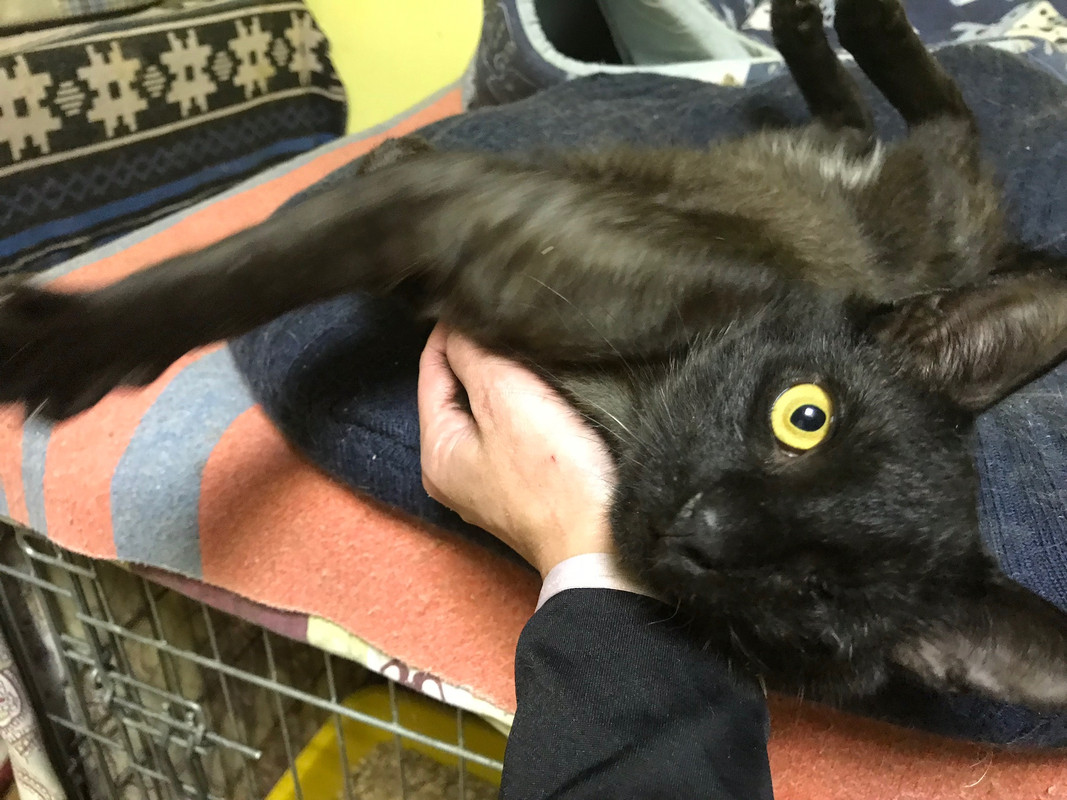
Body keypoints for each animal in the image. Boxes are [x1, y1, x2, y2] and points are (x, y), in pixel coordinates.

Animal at [1, 0, 1066, 707]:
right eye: (804, 415)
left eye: (812, 593)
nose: (706, 527)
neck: (625, 395)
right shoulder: (468, 217)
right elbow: (251, 265)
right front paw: (75, 342)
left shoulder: (471, 232)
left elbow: (279, 259)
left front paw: (63, 346)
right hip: (927, 219)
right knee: (921, 118)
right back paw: (840, 19)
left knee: (920, 120)